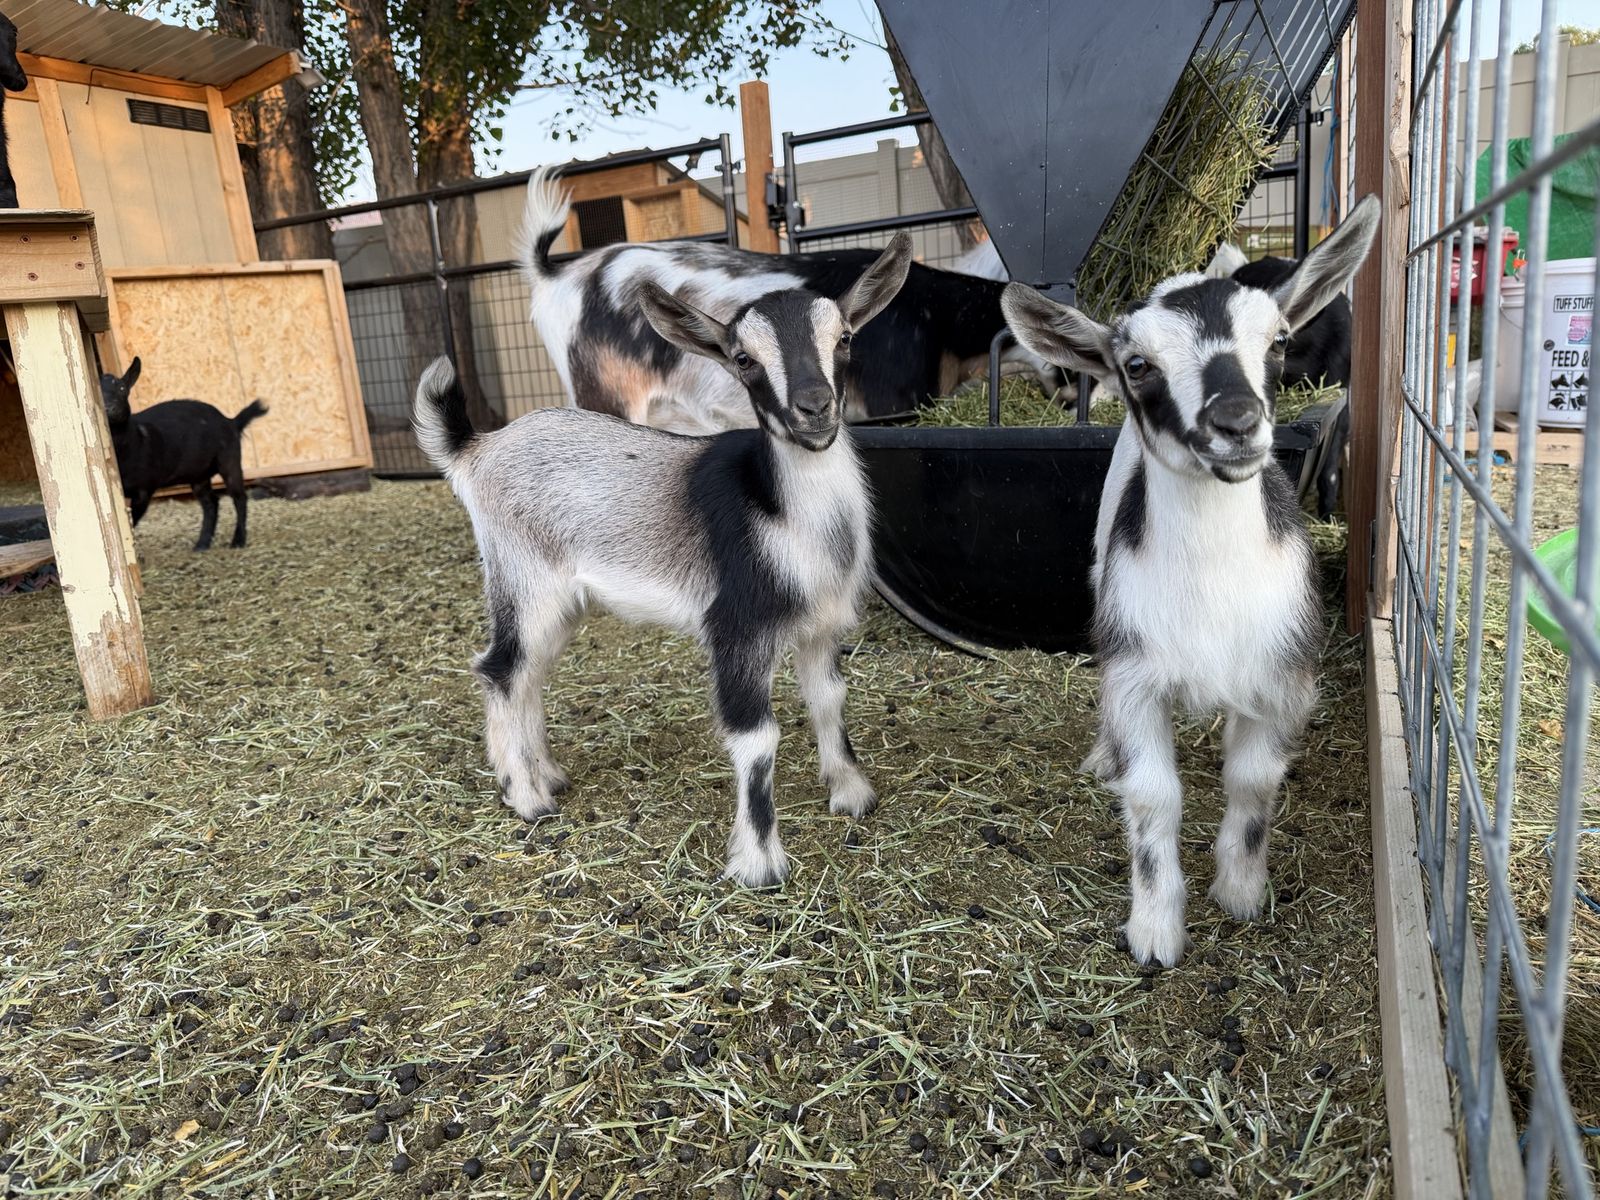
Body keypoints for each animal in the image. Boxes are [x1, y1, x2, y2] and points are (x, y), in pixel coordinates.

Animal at [100, 357, 268, 551]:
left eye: (122, 388)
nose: (109, 408)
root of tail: (231, 422)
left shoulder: (143, 490)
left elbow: (131, 523)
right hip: (199, 474)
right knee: (211, 502)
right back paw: (202, 544)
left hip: (229, 460)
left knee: (239, 498)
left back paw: (238, 540)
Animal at [415, 235, 913, 887]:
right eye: (743, 358)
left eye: (846, 337)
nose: (814, 408)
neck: (783, 513)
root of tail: (475, 449)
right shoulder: (736, 628)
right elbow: (757, 737)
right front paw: (759, 864)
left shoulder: (821, 625)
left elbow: (830, 699)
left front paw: (852, 794)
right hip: (523, 578)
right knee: (499, 668)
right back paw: (526, 798)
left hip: (563, 601)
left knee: (529, 673)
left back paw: (547, 775)